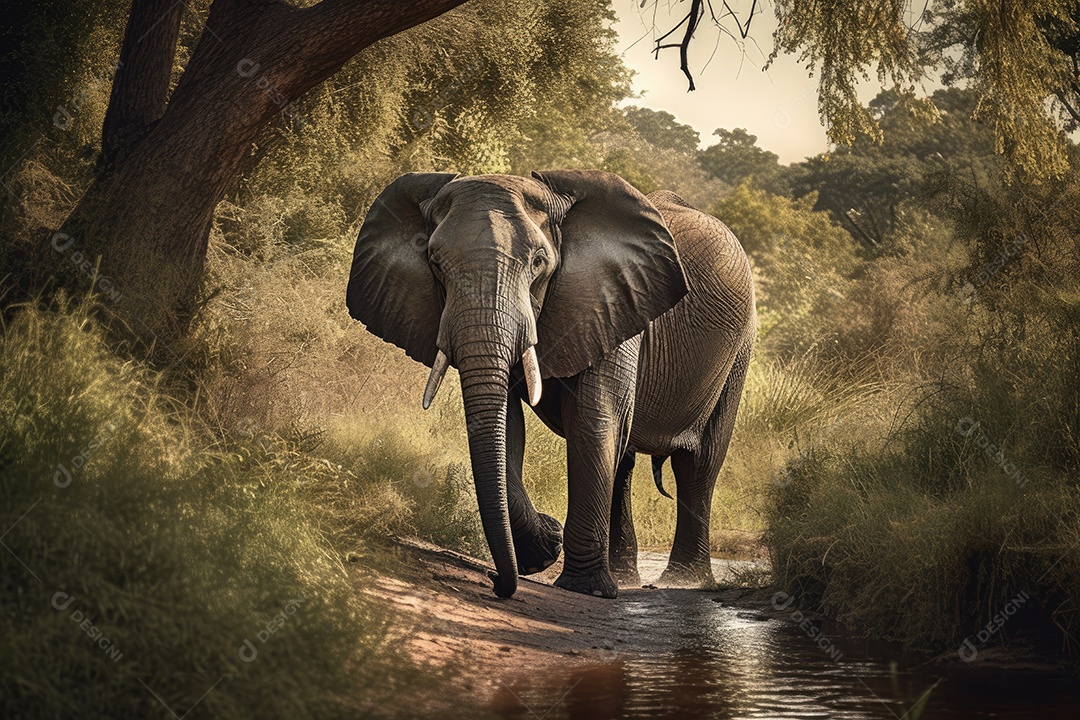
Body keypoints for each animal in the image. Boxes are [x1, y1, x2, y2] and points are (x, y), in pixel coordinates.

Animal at [346, 170, 755, 599]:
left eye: (539, 263)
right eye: (436, 264)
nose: (497, 583)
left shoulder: (614, 298)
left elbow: (594, 420)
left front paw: (584, 588)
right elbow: (507, 423)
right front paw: (544, 548)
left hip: (739, 350)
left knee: (698, 464)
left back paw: (683, 582)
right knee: (625, 459)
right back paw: (626, 578)